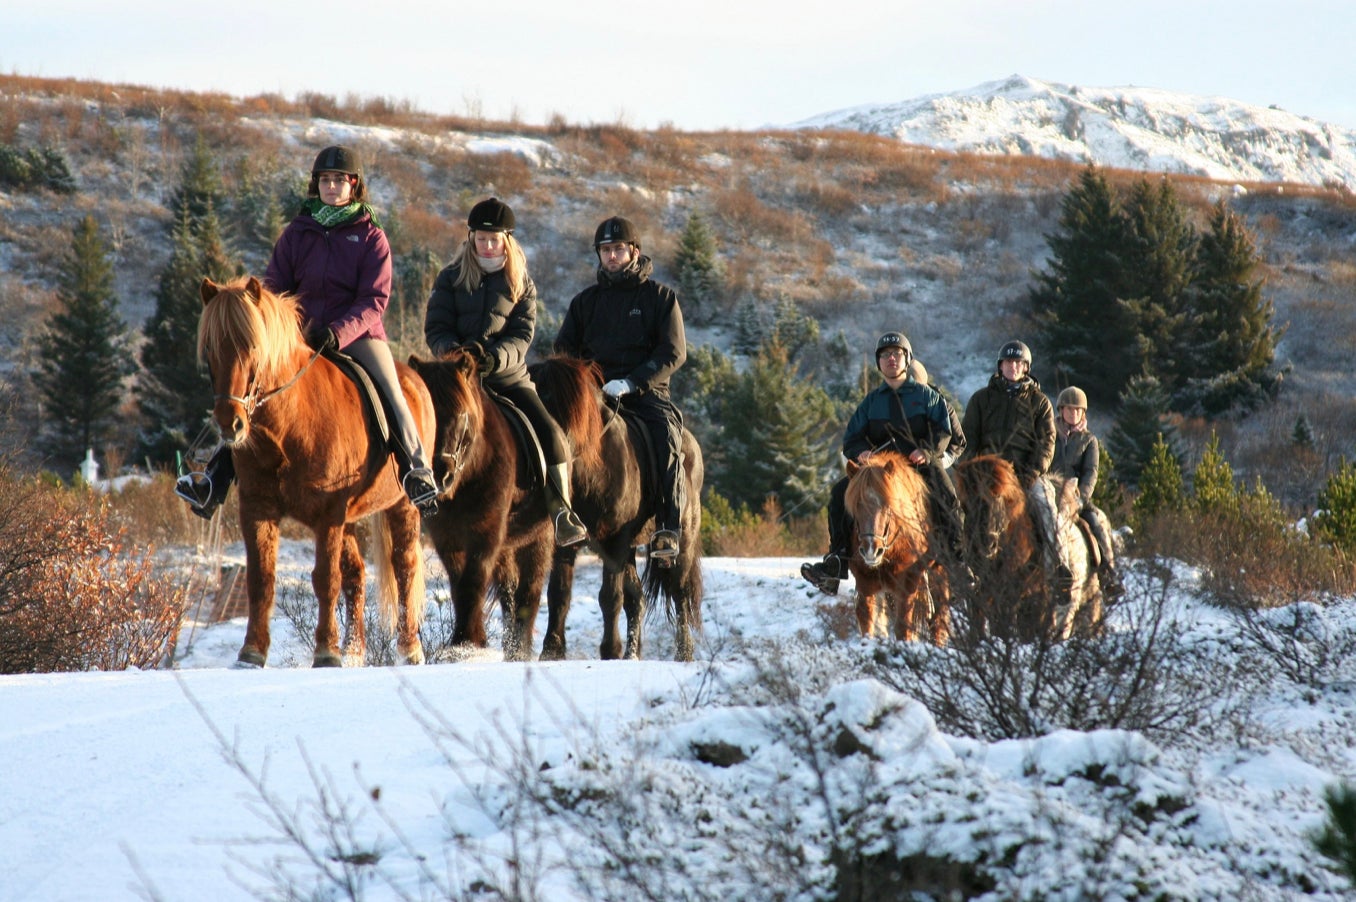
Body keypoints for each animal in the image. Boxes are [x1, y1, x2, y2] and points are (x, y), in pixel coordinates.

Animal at [197, 276, 432, 667]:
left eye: (253, 347)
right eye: (210, 350)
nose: (230, 424)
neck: (288, 427)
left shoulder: (328, 513)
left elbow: (325, 579)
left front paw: (325, 652)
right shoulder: (258, 508)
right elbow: (261, 579)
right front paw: (251, 652)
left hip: (401, 506)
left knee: (404, 566)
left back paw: (409, 649)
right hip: (349, 519)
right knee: (356, 574)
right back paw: (353, 651)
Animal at [407, 352, 555, 661]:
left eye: (461, 414)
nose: (440, 475)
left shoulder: (486, 532)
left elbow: (473, 581)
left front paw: (468, 640)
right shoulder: (447, 537)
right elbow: (458, 584)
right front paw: (465, 639)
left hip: (540, 537)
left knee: (530, 591)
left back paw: (520, 648)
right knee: (510, 594)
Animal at [530, 355, 704, 662]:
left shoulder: (615, 541)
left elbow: (609, 596)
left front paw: (610, 650)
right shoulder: (566, 543)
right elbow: (558, 594)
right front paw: (552, 651)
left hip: (680, 542)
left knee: (680, 594)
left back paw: (683, 653)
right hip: (631, 549)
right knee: (637, 598)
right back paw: (632, 654)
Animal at [843, 451, 949, 643]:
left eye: (887, 505)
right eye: (856, 505)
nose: (871, 550)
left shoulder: (907, 586)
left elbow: (903, 628)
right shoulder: (865, 585)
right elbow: (867, 625)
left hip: (939, 572)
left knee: (939, 619)